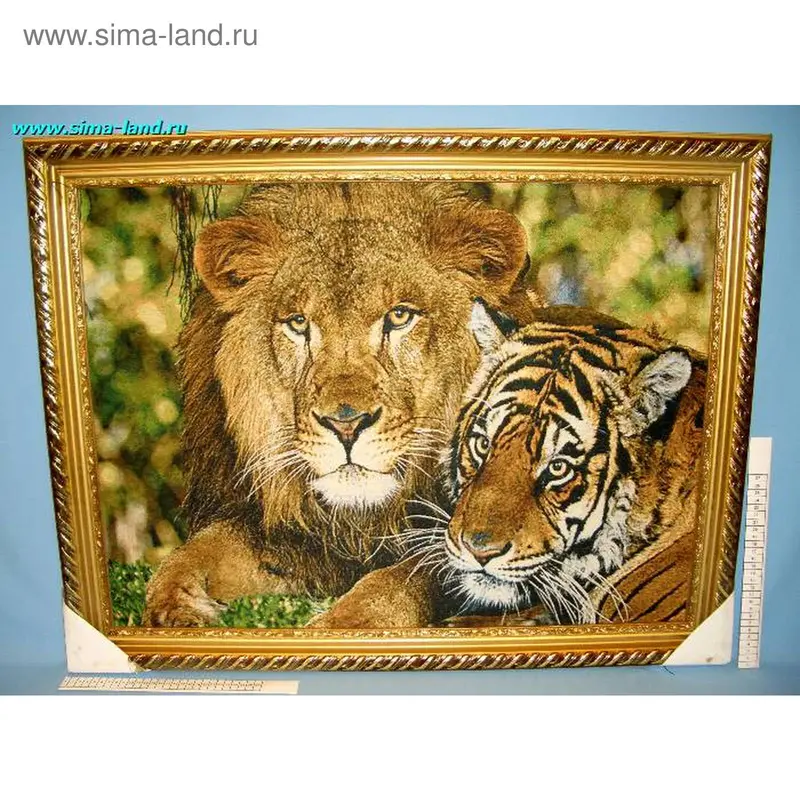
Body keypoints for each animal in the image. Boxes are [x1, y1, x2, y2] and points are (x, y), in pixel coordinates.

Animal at [142, 182, 539, 626]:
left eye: (399, 316)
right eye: (299, 323)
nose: (346, 424)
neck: (361, 521)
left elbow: (404, 578)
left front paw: (342, 624)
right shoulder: (286, 535)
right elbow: (194, 552)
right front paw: (173, 608)